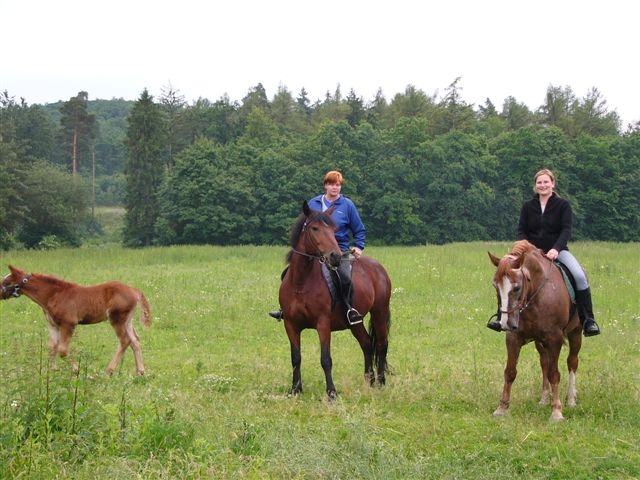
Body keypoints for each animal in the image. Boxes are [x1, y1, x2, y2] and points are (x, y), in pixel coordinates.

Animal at [0, 266, 151, 376]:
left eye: (7, 282)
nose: (0, 294)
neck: (53, 295)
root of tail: (135, 290)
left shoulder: (69, 323)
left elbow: (62, 350)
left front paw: (77, 369)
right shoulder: (53, 325)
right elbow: (52, 346)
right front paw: (52, 371)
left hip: (117, 318)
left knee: (125, 340)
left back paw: (109, 370)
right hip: (127, 320)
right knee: (135, 340)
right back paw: (140, 371)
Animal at [278, 201, 392, 400]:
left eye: (333, 229)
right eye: (315, 228)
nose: (336, 256)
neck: (301, 282)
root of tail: (378, 268)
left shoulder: (323, 323)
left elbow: (326, 359)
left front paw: (331, 393)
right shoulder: (290, 324)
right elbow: (296, 357)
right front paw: (295, 390)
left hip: (380, 312)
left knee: (381, 345)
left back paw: (380, 383)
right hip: (355, 322)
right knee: (366, 344)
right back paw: (368, 382)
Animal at [488, 240, 584, 420]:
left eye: (516, 287)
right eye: (495, 286)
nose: (505, 323)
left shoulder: (555, 339)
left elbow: (554, 373)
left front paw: (557, 411)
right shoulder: (513, 337)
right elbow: (510, 371)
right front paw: (502, 408)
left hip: (575, 333)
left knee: (572, 362)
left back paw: (571, 399)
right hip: (540, 342)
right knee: (544, 363)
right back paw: (544, 399)